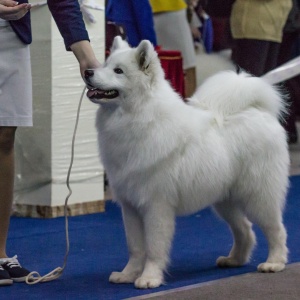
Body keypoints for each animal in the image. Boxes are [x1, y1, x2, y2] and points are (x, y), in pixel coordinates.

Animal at [85, 36, 290, 290]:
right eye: (105, 64)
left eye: (118, 71)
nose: (88, 71)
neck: (139, 117)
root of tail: (259, 111)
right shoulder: (130, 207)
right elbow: (135, 248)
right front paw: (128, 274)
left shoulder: (156, 206)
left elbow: (153, 248)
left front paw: (149, 278)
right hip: (225, 200)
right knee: (245, 230)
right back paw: (234, 260)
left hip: (259, 196)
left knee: (276, 230)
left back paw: (274, 263)